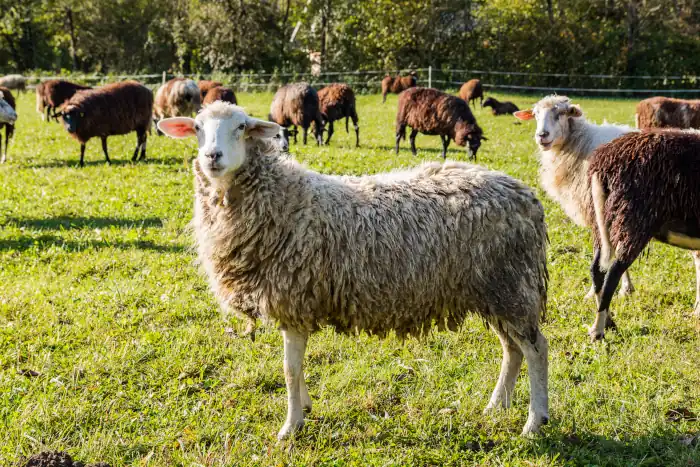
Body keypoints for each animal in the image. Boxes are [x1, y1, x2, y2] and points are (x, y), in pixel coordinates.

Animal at [157, 102, 550, 439]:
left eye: (240, 127)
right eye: (197, 128)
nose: (212, 157)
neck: (282, 201)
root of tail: (524, 194)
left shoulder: (293, 300)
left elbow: (289, 369)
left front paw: (290, 427)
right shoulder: (297, 304)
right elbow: (296, 368)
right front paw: (305, 408)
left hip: (512, 284)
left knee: (536, 349)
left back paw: (535, 422)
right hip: (494, 289)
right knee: (511, 350)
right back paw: (496, 406)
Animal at [587, 129, 700, 340]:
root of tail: (604, 163)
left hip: (603, 223)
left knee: (597, 271)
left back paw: (608, 323)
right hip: (634, 222)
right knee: (612, 275)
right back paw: (598, 331)